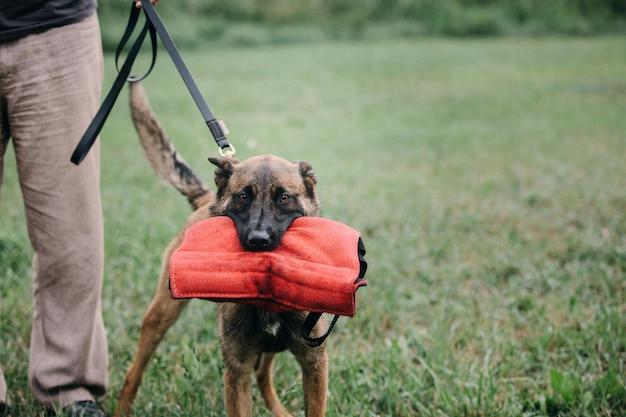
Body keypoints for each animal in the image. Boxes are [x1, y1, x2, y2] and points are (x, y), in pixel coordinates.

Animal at [112, 81, 326, 416]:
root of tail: (205, 199)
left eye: (284, 198)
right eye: (243, 197)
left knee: (263, 374)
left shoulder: (314, 363)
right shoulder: (236, 369)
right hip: (160, 314)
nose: (258, 240)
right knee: (135, 371)